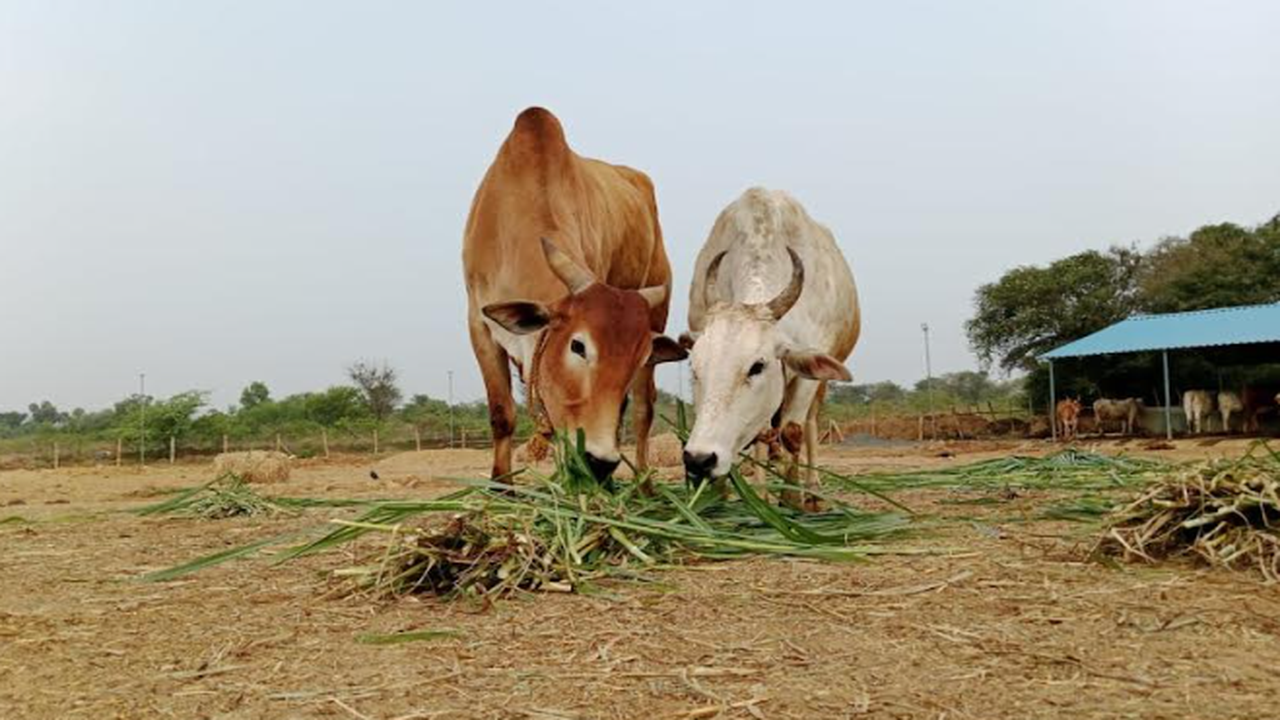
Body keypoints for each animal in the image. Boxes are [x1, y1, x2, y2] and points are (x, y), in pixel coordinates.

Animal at [463, 107, 686, 481]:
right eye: (577, 346)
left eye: (636, 357)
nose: (600, 462)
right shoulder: (479, 325)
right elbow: (501, 414)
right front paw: (501, 486)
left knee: (642, 409)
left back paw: (642, 483)